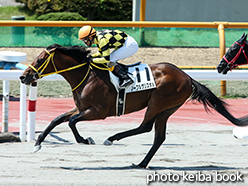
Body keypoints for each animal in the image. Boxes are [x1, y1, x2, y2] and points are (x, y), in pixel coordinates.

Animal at [19, 44, 248, 169]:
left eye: (40, 59)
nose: (23, 76)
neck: (86, 75)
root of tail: (187, 76)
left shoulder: (98, 112)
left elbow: (72, 123)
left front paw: (85, 140)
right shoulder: (81, 107)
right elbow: (56, 120)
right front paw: (37, 143)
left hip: (158, 102)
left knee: (145, 127)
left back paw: (112, 139)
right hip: (167, 109)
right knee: (157, 136)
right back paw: (141, 163)